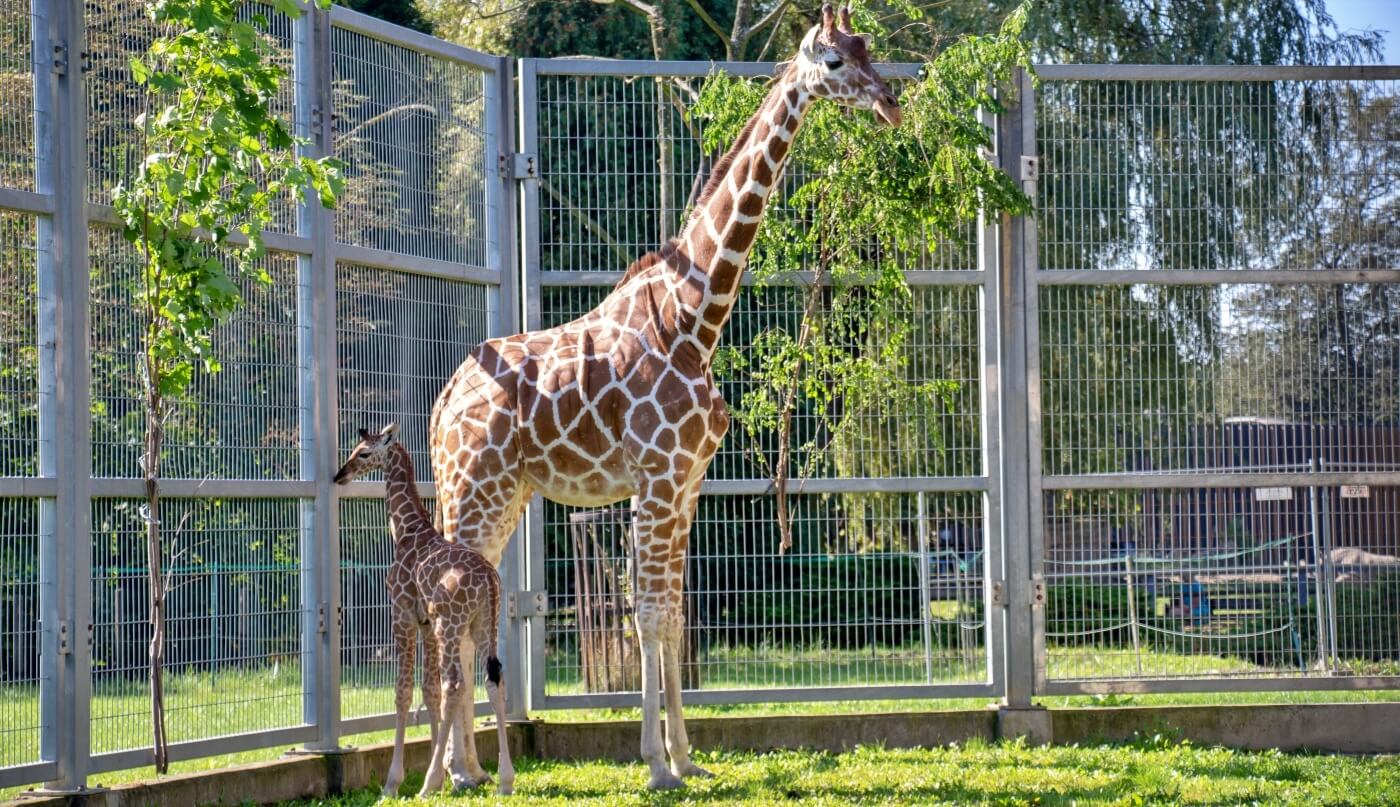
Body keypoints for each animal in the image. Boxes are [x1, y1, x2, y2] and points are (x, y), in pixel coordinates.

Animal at [336, 423, 518, 795]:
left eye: (363, 452)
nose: (339, 475)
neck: (406, 529)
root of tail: (489, 580)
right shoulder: (426, 623)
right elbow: (429, 692)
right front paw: (447, 777)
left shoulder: (403, 613)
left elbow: (404, 692)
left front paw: (394, 783)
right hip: (483, 624)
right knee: (493, 679)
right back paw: (505, 780)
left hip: (452, 623)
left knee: (456, 684)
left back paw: (429, 782)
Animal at [431, 4, 901, 790]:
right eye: (835, 61)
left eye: (871, 49)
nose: (892, 101)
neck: (695, 319)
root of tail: (440, 407)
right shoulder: (653, 481)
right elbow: (649, 615)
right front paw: (655, 765)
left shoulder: (686, 483)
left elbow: (676, 618)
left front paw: (687, 756)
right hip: (474, 489)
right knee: (448, 606)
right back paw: (454, 773)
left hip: (503, 493)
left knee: (467, 607)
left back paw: (466, 767)